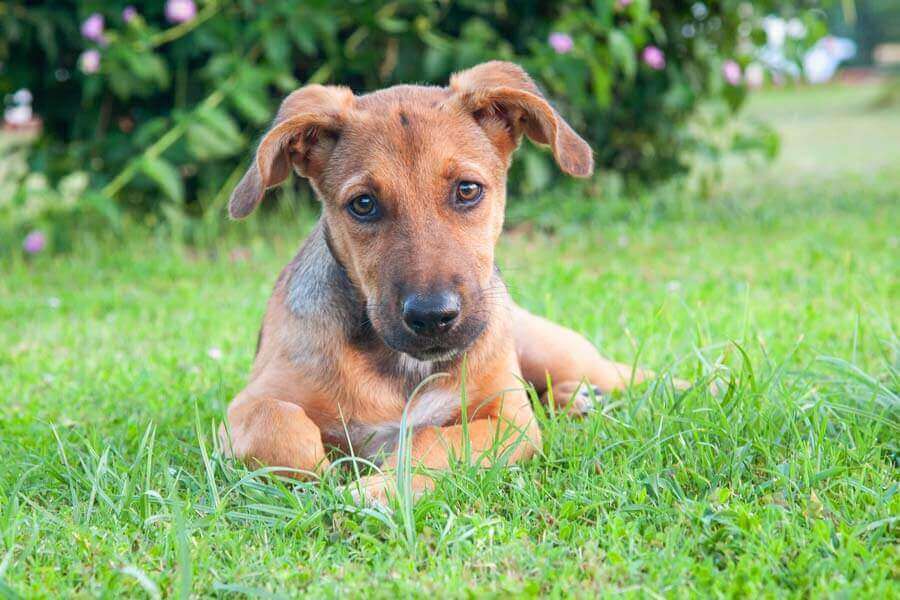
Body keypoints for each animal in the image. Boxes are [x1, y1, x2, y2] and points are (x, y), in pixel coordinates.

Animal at [220, 61, 668, 504]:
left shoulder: (509, 419)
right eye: (363, 204)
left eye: (467, 190)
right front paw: (327, 474)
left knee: (640, 377)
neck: (404, 368)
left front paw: (381, 487)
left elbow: (436, 439)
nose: (433, 317)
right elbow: (278, 425)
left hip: (559, 353)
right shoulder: (242, 408)